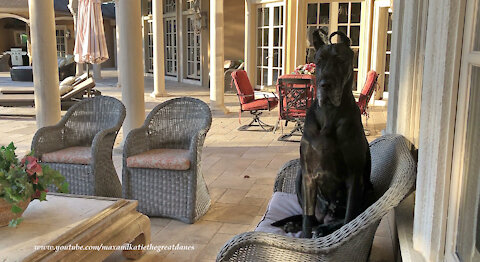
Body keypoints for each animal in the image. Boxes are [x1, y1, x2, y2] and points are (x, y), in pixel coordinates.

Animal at [274, 29, 372, 238]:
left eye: (341, 60)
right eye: (318, 60)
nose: (325, 85)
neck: (329, 113)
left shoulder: (354, 177)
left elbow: (350, 218)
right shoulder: (308, 175)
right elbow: (307, 218)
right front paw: (303, 235)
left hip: (368, 188)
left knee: (341, 218)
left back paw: (325, 228)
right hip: (299, 176)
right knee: (312, 218)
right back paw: (295, 224)